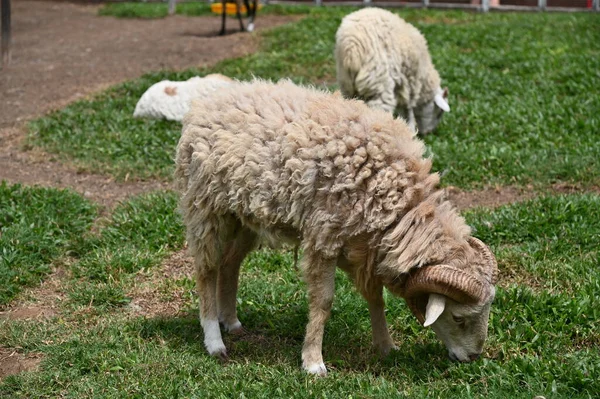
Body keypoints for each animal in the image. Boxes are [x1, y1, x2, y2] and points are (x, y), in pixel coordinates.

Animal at [176, 80, 500, 376]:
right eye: (458, 318)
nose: (472, 357)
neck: (400, 202)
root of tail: (207, 102)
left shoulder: (363, 246)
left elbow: (375, 297)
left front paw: (386, 346)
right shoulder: (324, 238)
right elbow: (323, 302)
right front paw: (313, 362)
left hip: (243, 217)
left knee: (230, 264)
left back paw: (231, 322)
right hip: (205, 208)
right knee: (206, 271)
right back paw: (214, 340)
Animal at [332, 7, 450, 135]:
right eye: (439, 113)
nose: (428, 132)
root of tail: (352, 50)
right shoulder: (411, 83)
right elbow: (408, 108)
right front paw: (410, 129)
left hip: (346, 83)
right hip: (378, 82)